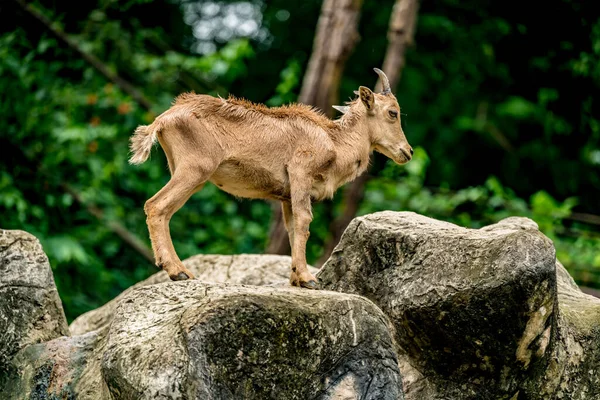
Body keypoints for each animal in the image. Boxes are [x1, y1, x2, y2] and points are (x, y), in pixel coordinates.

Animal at [129, 68, 412, 288]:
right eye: (393, 112)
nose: (407, 152)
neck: (335, 143)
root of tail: (161, 120)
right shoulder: (300, 174)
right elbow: (304, 222)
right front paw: (308, 279)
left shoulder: (286, 196)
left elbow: (292, 228)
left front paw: (296, 277)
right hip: (194, 169)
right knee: (155, 206)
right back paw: (178, 272)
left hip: (187, 173)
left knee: (164, 210)